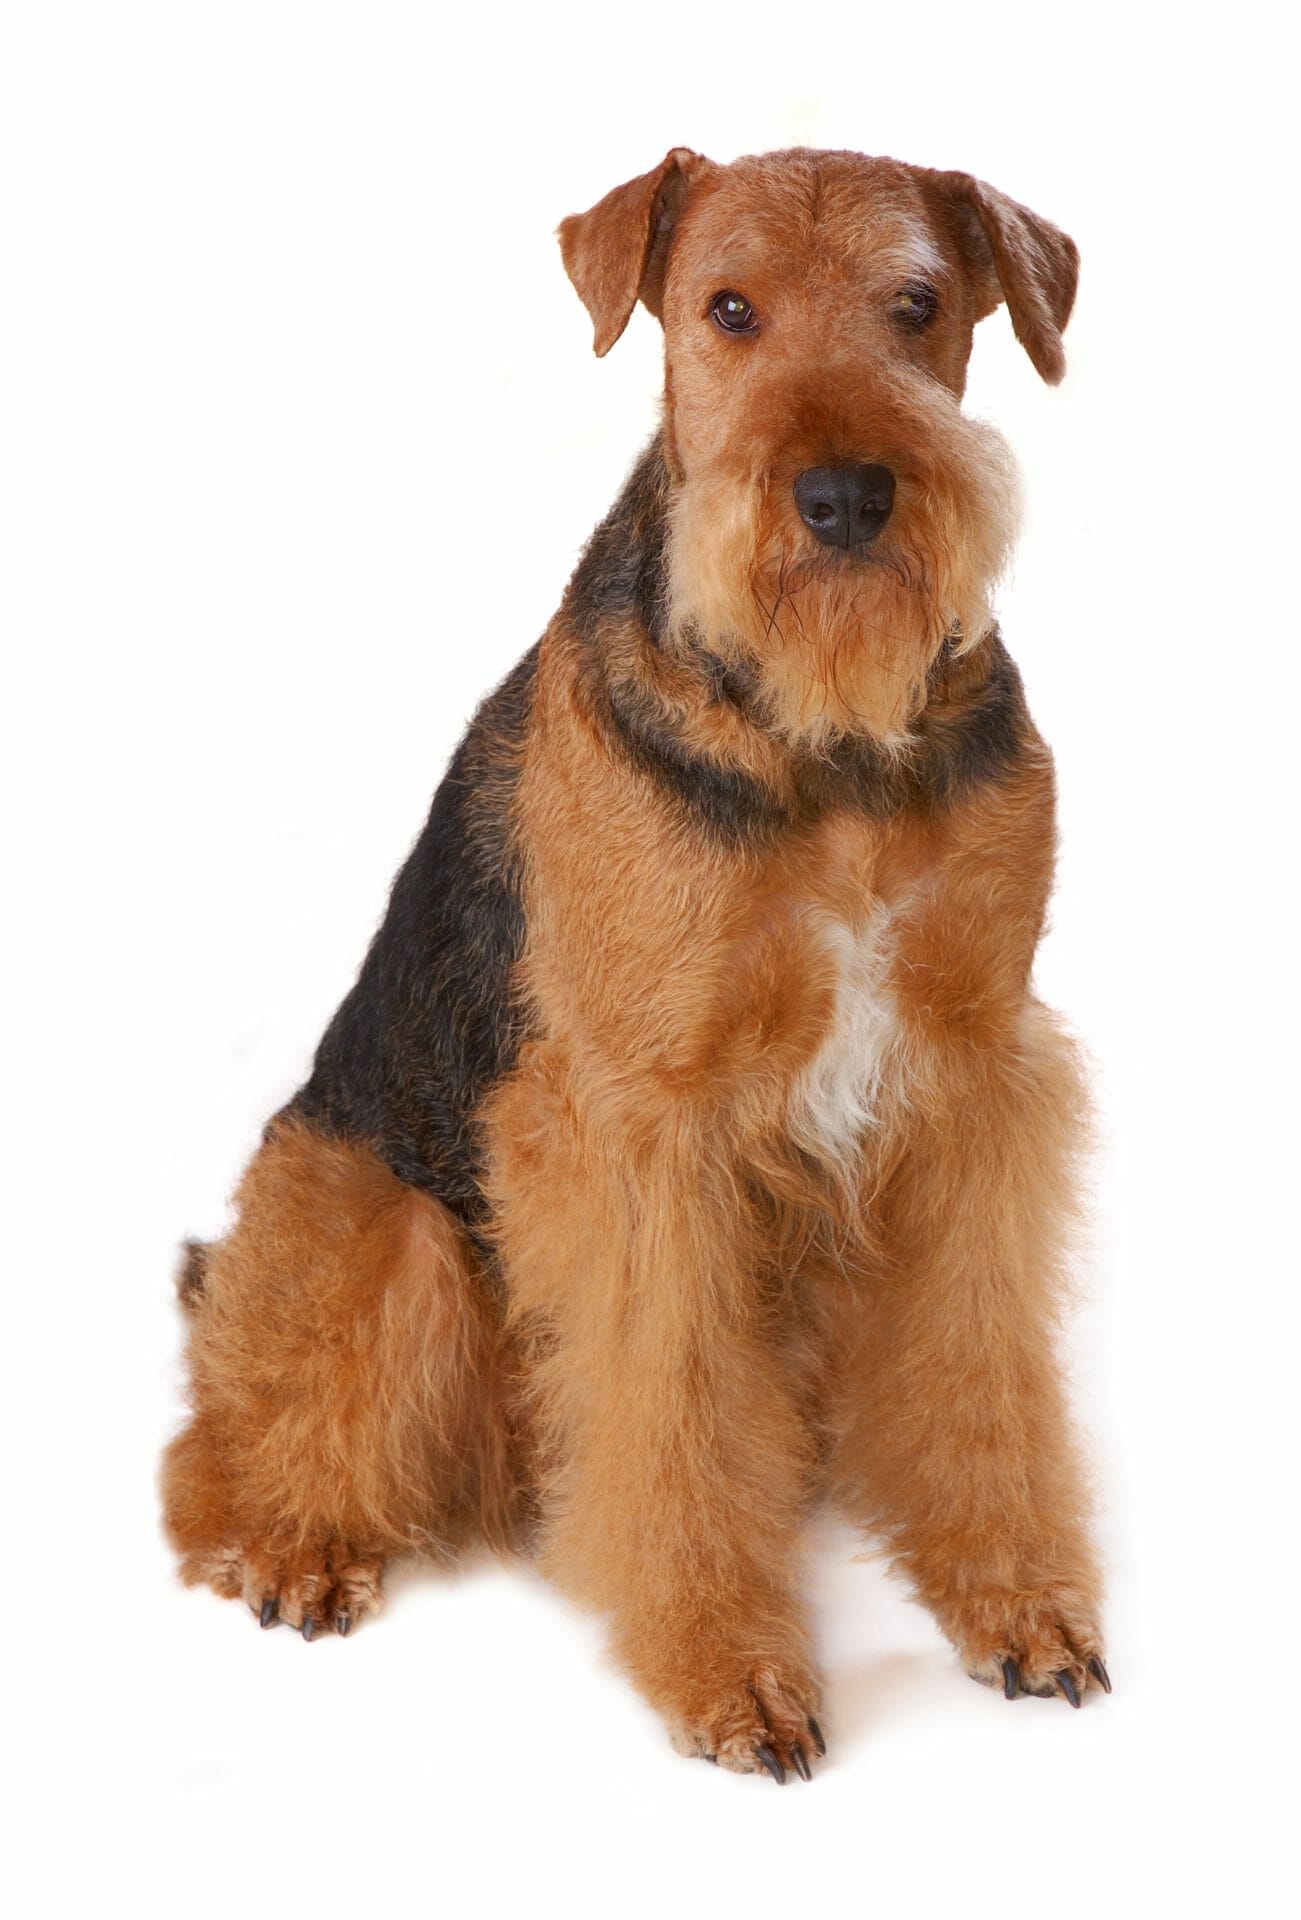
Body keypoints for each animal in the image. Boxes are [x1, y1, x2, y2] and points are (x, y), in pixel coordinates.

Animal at [160, 142, 1112, 1774]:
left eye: (918, 304)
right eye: (727, 308)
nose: (845, 499)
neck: (826, 740)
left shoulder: (978, 1065)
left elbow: (978, 1358)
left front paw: (1020, 1606)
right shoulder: (634, 1120)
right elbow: (668, 1398)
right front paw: (733, 1676)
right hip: (375, 1205)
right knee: (224, 1428)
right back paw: (295, 1546)